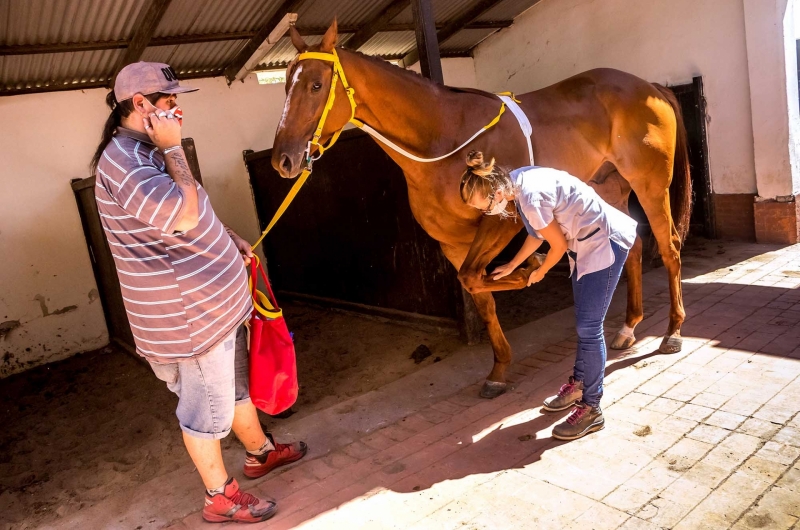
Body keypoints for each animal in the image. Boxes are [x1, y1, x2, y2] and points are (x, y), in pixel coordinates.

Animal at [272, 23, 692, 396]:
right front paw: (499, 369)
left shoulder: (502, 222)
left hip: (651, 186)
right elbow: (478, 293)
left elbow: (477, 277)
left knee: (669, 245)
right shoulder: (453, 242)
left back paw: (672, 331)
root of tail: (649, 87)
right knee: (633, 245)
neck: (444, 137)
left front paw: (531, 267)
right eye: (286, 86)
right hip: (610, 186)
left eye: (315, 85)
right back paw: (628, 327)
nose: (283, 160)